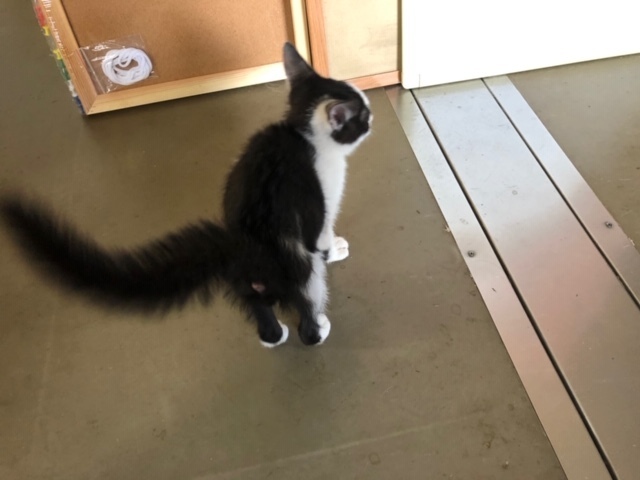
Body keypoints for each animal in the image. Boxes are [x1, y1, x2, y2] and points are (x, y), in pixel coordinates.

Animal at [0, 43, 372, 348]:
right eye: (363, 115)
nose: (373, 119)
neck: (301, 134)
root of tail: (241, 250)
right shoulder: (317, 203)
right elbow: (320, 237)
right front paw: (335, 249)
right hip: (299, 267)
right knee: (306, 303)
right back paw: (317, 328)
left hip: (245, 283)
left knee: (258, 307)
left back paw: (273, 335)